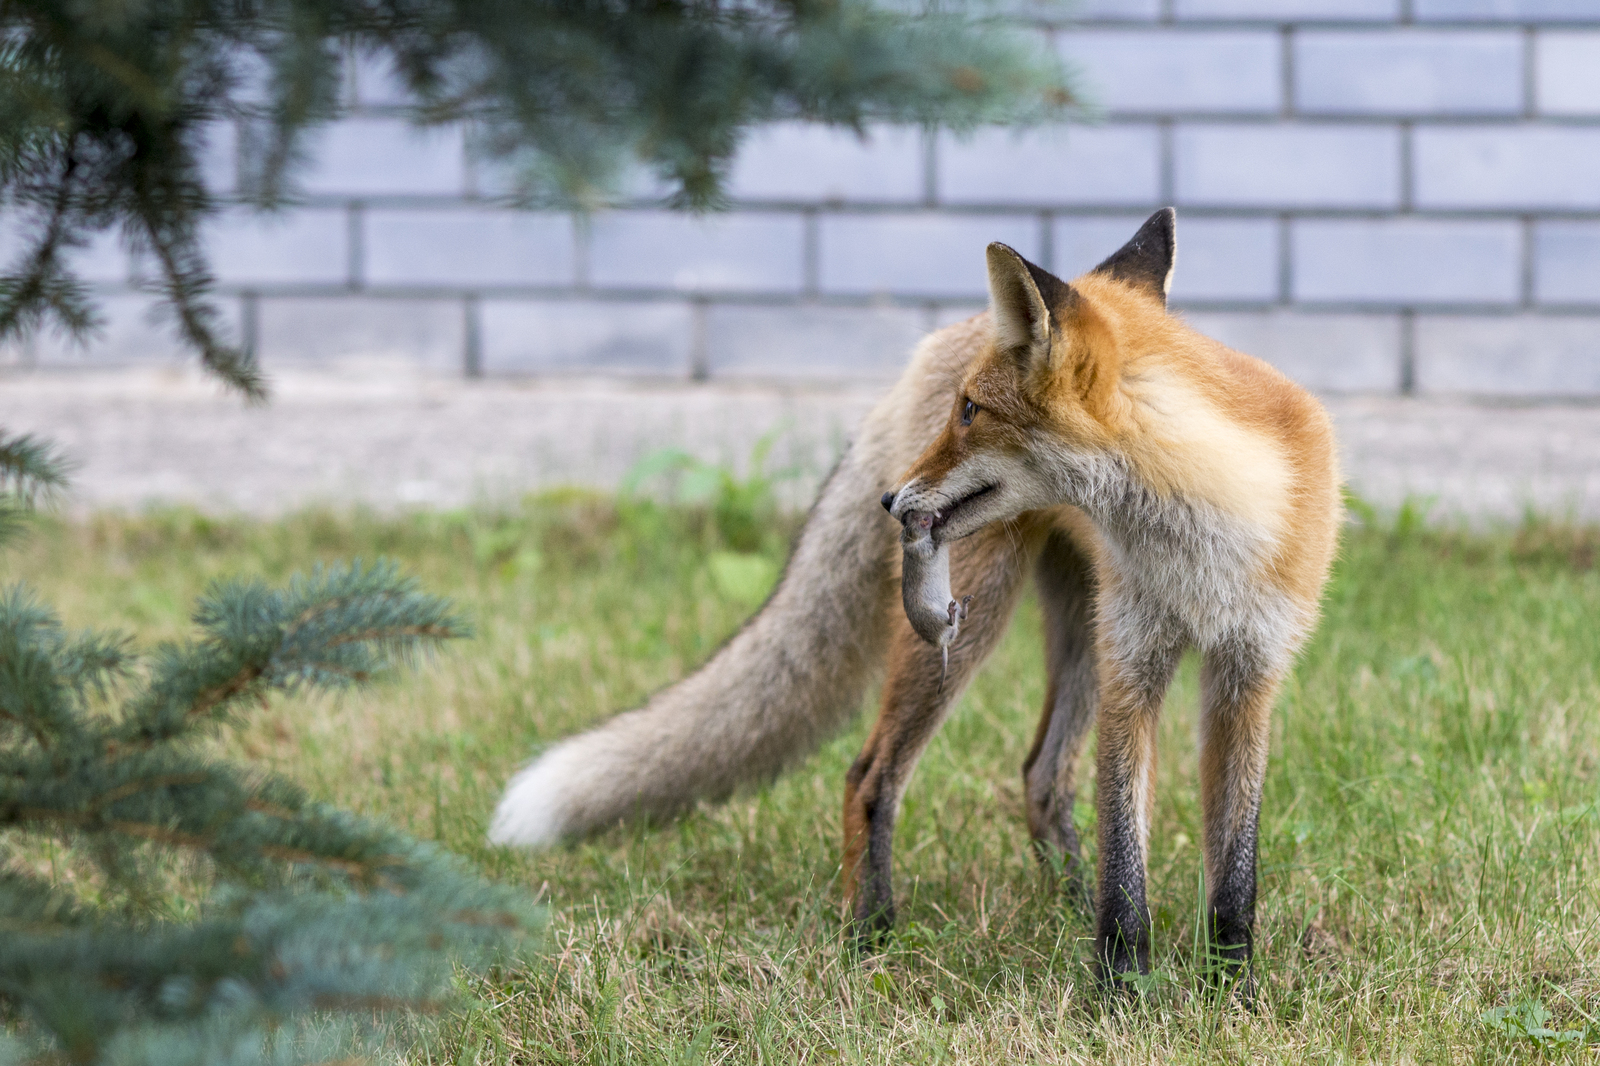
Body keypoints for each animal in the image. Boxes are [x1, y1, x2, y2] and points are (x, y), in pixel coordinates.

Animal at [492, 209, 1344, 985]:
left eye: (971, 413)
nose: (891, 499)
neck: (1205, 539)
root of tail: (948, 330)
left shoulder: (1248, 671)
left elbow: (1234, 872)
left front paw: (1229, 991)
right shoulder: (1136, 665)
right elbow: (1124, 867)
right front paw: (1123, 992)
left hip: (1075, 627)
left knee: (1041, 777)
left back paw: (1063, 906)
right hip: (981, 617)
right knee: (871, 773)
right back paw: (871, 934)